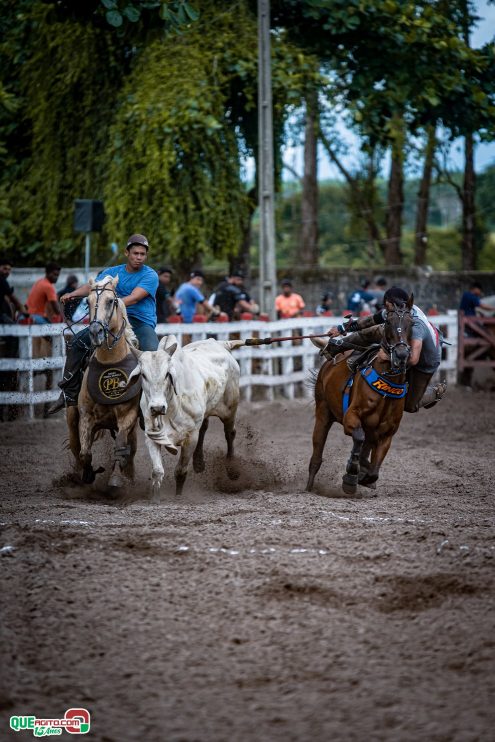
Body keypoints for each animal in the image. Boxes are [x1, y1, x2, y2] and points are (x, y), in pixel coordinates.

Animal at [66, 276, 140, 492]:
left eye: (111, 301)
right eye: (87, 302)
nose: (95, 331)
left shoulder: (128, 416)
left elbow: (121, 448)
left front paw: (116, 478)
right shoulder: (86, 416)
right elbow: (85, 453)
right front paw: (89, 473)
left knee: (130, 449)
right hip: (71, 417)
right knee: (76, 446)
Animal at [128, 336, 244, 500]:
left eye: (167, 374)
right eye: (143, 375)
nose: (157, 408)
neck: (171, 406)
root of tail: (219, 343)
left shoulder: (190, 438)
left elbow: (180, 472)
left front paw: (178, 496)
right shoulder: (152, 436)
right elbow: (157, 472)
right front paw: (155, 498)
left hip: (230, 409)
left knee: (230, 433)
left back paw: (231, 469)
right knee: (205, 427)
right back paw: (199, 463)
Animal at [306, 294, 414, 494]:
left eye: (412, 323)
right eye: (388, 322)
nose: (401, 354)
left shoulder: (387, 434)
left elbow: (373, 471)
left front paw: (363, 476)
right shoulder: (351, 418)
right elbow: (358, 437)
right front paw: (351, 475)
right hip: (323, 412)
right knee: (316, 456)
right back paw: (309, 487)